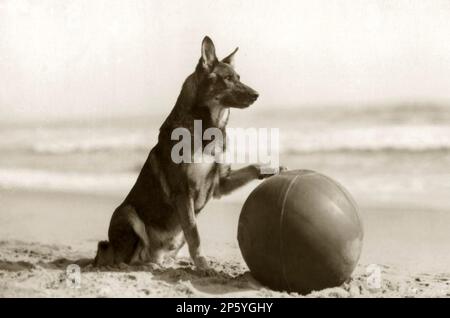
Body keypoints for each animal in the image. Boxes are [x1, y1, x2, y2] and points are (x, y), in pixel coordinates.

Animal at [94, 36, 284, 270]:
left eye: (238, 77)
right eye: (227, 79)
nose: (256, 95)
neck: (209, 127)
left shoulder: (220, 183)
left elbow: (251, 167)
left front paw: (272, 168)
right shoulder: (183, 193)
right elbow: (194, 233)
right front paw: (203, 264)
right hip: (127, 213)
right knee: (124, 259)